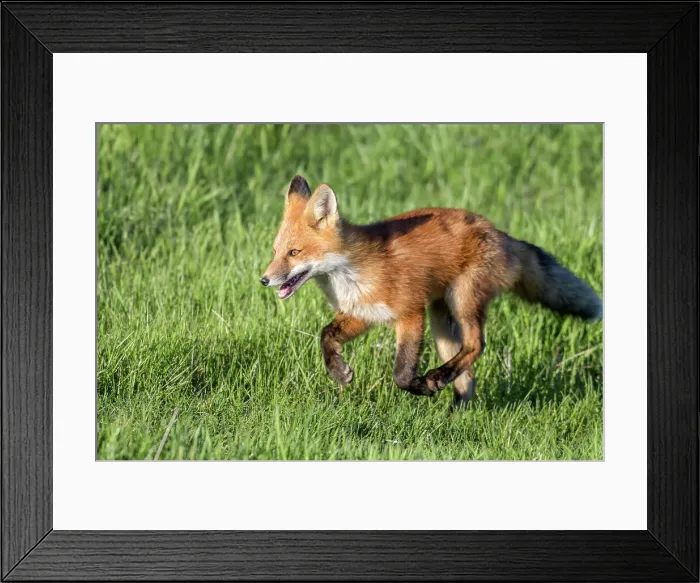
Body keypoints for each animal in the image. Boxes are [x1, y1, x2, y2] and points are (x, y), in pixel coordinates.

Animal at [261, 175, 602, 411]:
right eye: (275, 252)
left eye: (294, 252)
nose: (264, 280)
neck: (353, 273)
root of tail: (498, 232)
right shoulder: (362, 314)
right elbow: (326, 335)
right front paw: (339, 372)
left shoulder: (410, 313)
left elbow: (401, 372)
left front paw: (420, 387)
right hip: (442, 325)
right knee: (467, 375)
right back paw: (456, 415)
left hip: (462, 300)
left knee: (477, 345)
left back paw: (438, 379)